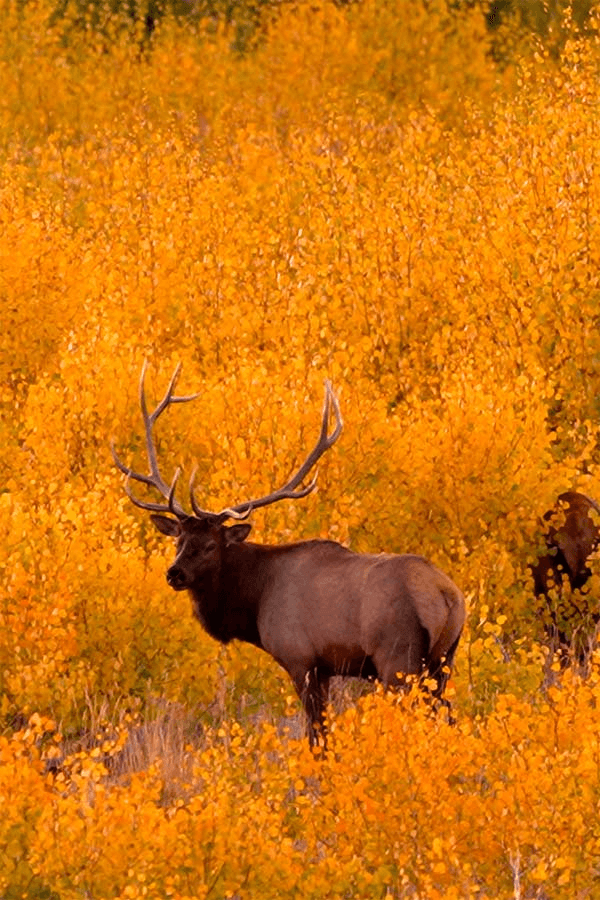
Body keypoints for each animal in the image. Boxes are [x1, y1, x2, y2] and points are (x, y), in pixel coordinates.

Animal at [112, 364, 466, 746]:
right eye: (177, 541)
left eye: (210, 545)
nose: (174, 573)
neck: (254, 602)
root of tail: (447, 596)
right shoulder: (326, 668)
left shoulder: (301, 659)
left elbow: (317, 735)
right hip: (443, 662)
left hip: (397, 658)